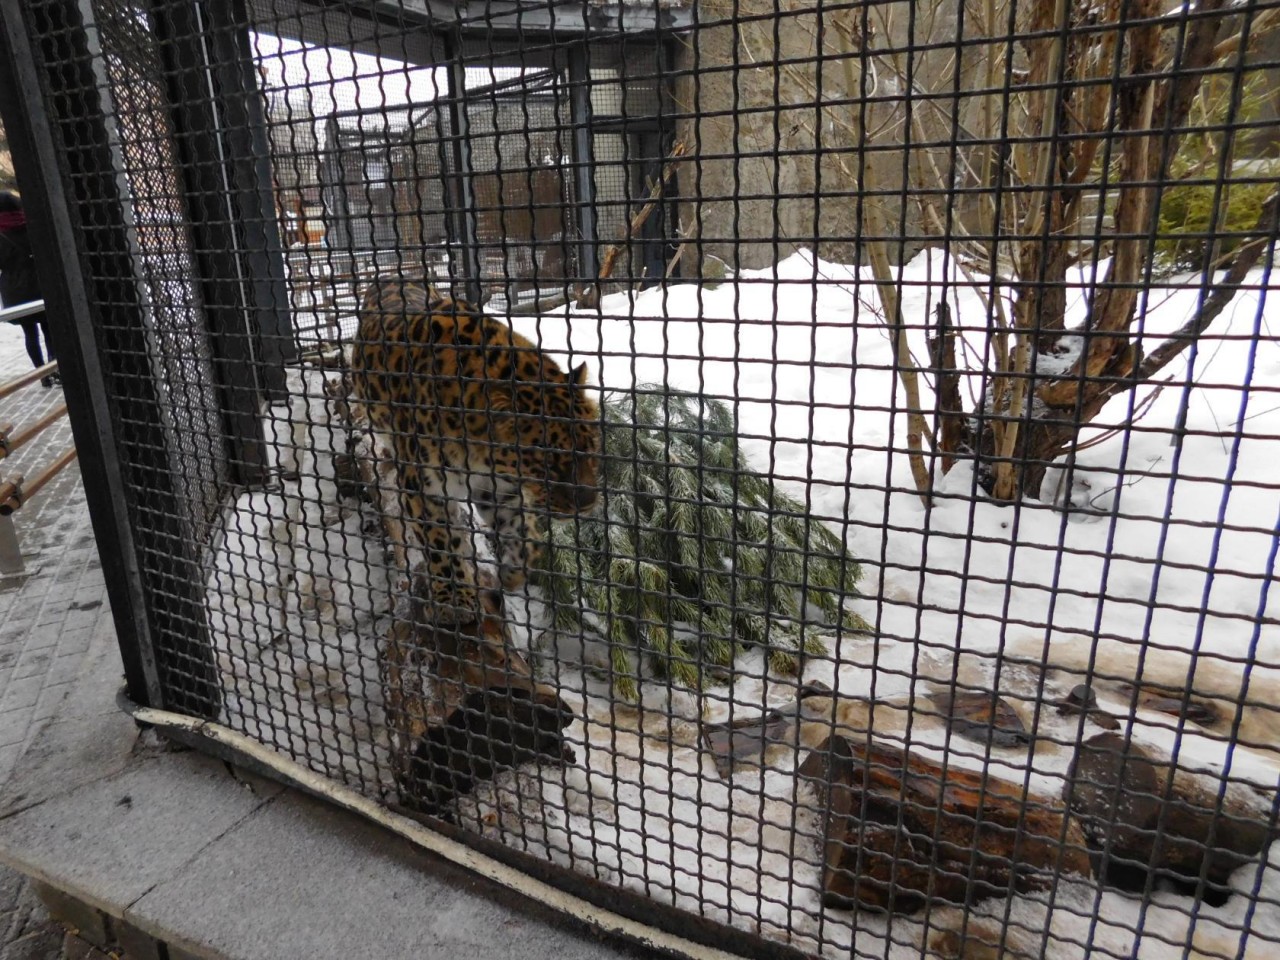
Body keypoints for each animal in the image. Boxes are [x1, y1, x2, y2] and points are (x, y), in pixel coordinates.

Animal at [348, 277, 601, 624]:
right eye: (547, 464)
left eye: (592, 447)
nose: (588, 503)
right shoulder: (423, 487)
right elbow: (440, 544)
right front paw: (453, 599)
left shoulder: (498, 488)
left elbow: (520, 531)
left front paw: (514, 571)